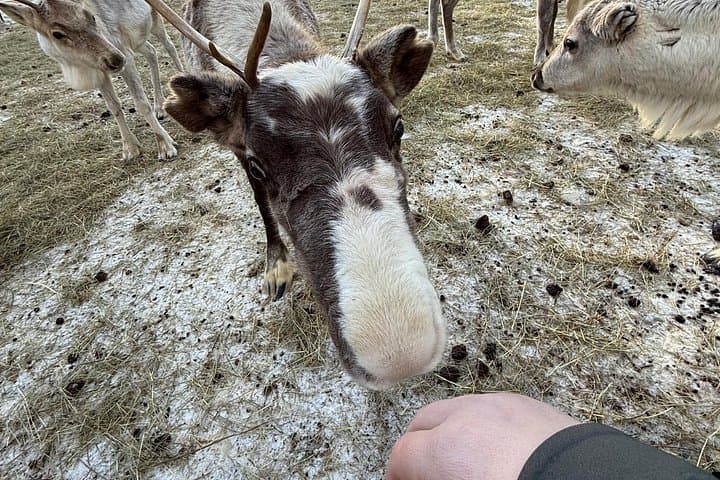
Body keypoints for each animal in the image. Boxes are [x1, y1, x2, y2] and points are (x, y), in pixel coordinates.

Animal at [0, 0, 183, 160]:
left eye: (92, 17)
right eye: (57, 34)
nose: (115, 59)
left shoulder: (125, 53)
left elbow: (141, 104)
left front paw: (165, 146)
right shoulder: (99, 70)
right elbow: (114, 107)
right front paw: (130, 149)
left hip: (155, 20)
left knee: (170, 45)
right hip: (137, 39)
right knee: (152, 52)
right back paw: (159, 106)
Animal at [144, 0, 447, 389]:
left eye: (398, 127)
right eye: (258, 165)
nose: (399, 355)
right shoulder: (238, 151)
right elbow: (262, 205)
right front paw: (277, 264)